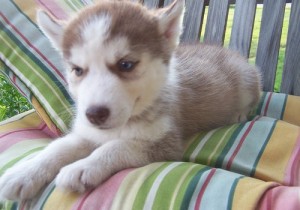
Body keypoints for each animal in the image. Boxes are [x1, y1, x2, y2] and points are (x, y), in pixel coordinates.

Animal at [0, 0, 260, 200]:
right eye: (77, 70)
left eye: (126, 65)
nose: (94, 114)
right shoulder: (87, 133)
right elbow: (58, 147)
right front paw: (24, 172)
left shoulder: (165, 143)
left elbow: (117, 146)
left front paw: (81, 167)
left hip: (246, 76)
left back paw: (239, 112)